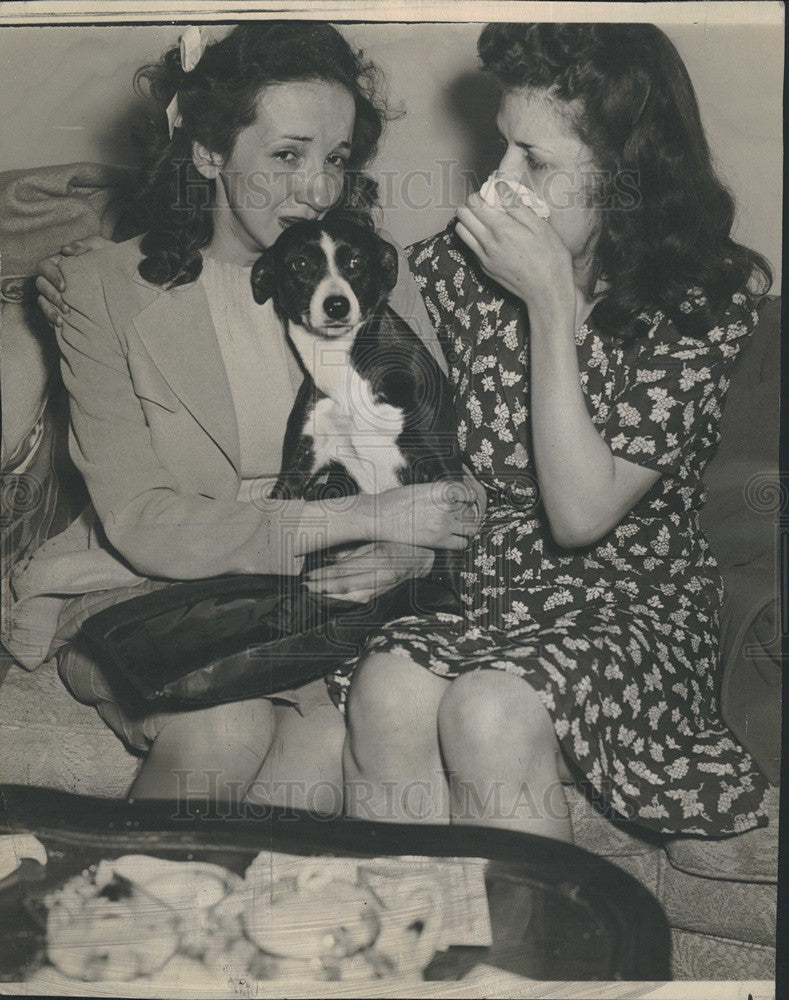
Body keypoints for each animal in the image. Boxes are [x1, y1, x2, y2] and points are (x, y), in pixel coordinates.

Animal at [251, 216, 462, 504]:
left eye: (356, 261)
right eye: (300, 264)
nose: (337, 305)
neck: (341, 361)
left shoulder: (440, 461)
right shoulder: (297, 464)